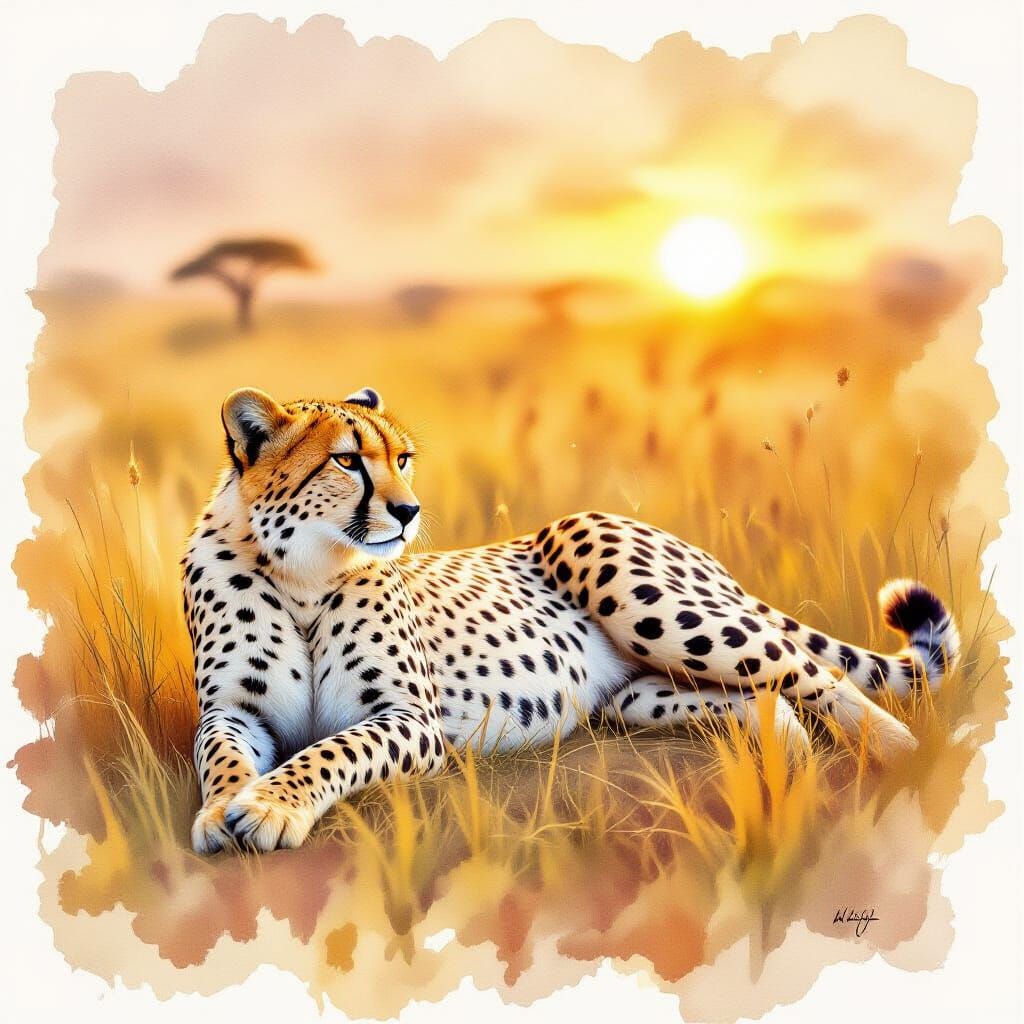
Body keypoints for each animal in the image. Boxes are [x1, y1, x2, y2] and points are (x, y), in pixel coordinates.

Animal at [183, 386, 960, 853]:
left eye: (402, 458)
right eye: (347, 461)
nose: (407, 511)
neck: (305, 573)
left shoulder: (409, 719)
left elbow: (332, 751)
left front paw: (270, 808)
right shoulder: (235, 712)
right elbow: (219, 754)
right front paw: (223, 810)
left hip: (642, 593)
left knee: (815, 672)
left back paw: (901, 757)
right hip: (636, 694)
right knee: (757, 694)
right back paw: (788, 755)